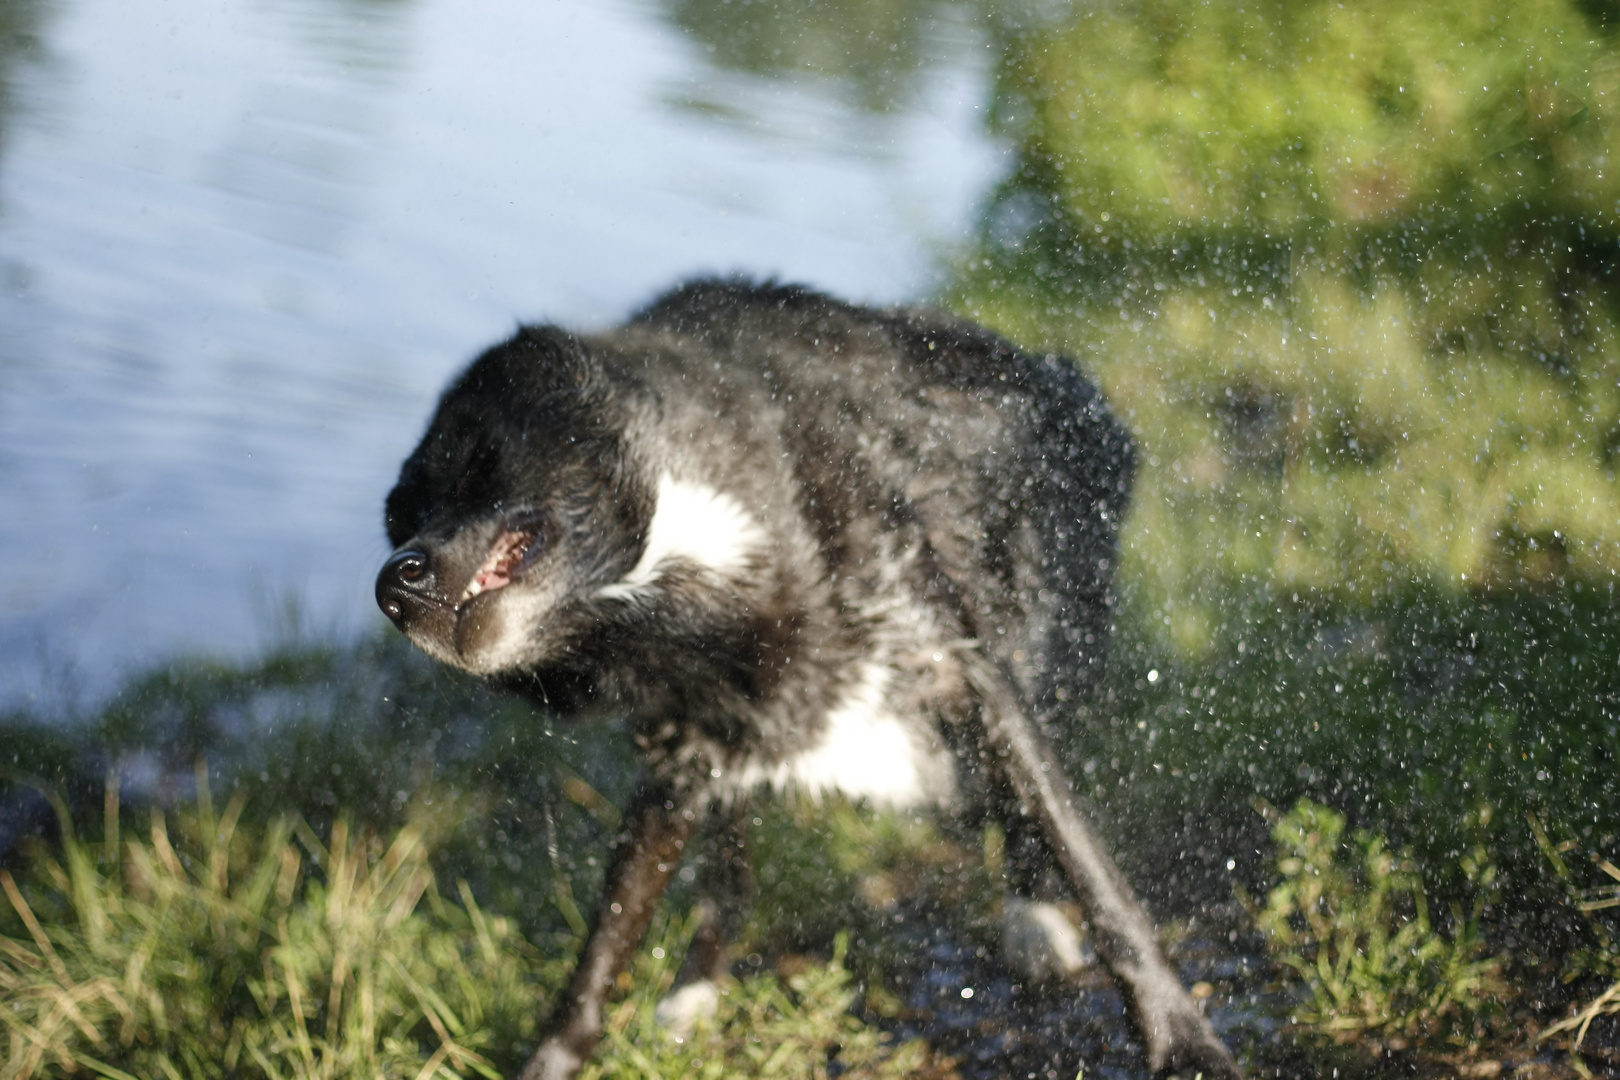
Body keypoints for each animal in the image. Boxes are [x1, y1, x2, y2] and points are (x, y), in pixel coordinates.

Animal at [375, 283, 1237, 1075]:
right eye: (400, 516)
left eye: (474, 462)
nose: (393, 586)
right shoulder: (682, 759)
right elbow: (603, 954)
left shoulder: (968, 675)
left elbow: (1093, 872)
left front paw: (1183, 1040)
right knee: (729, 877)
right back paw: (697, 987)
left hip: (1052, 659)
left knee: (1023, 807)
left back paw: (1032, 916)